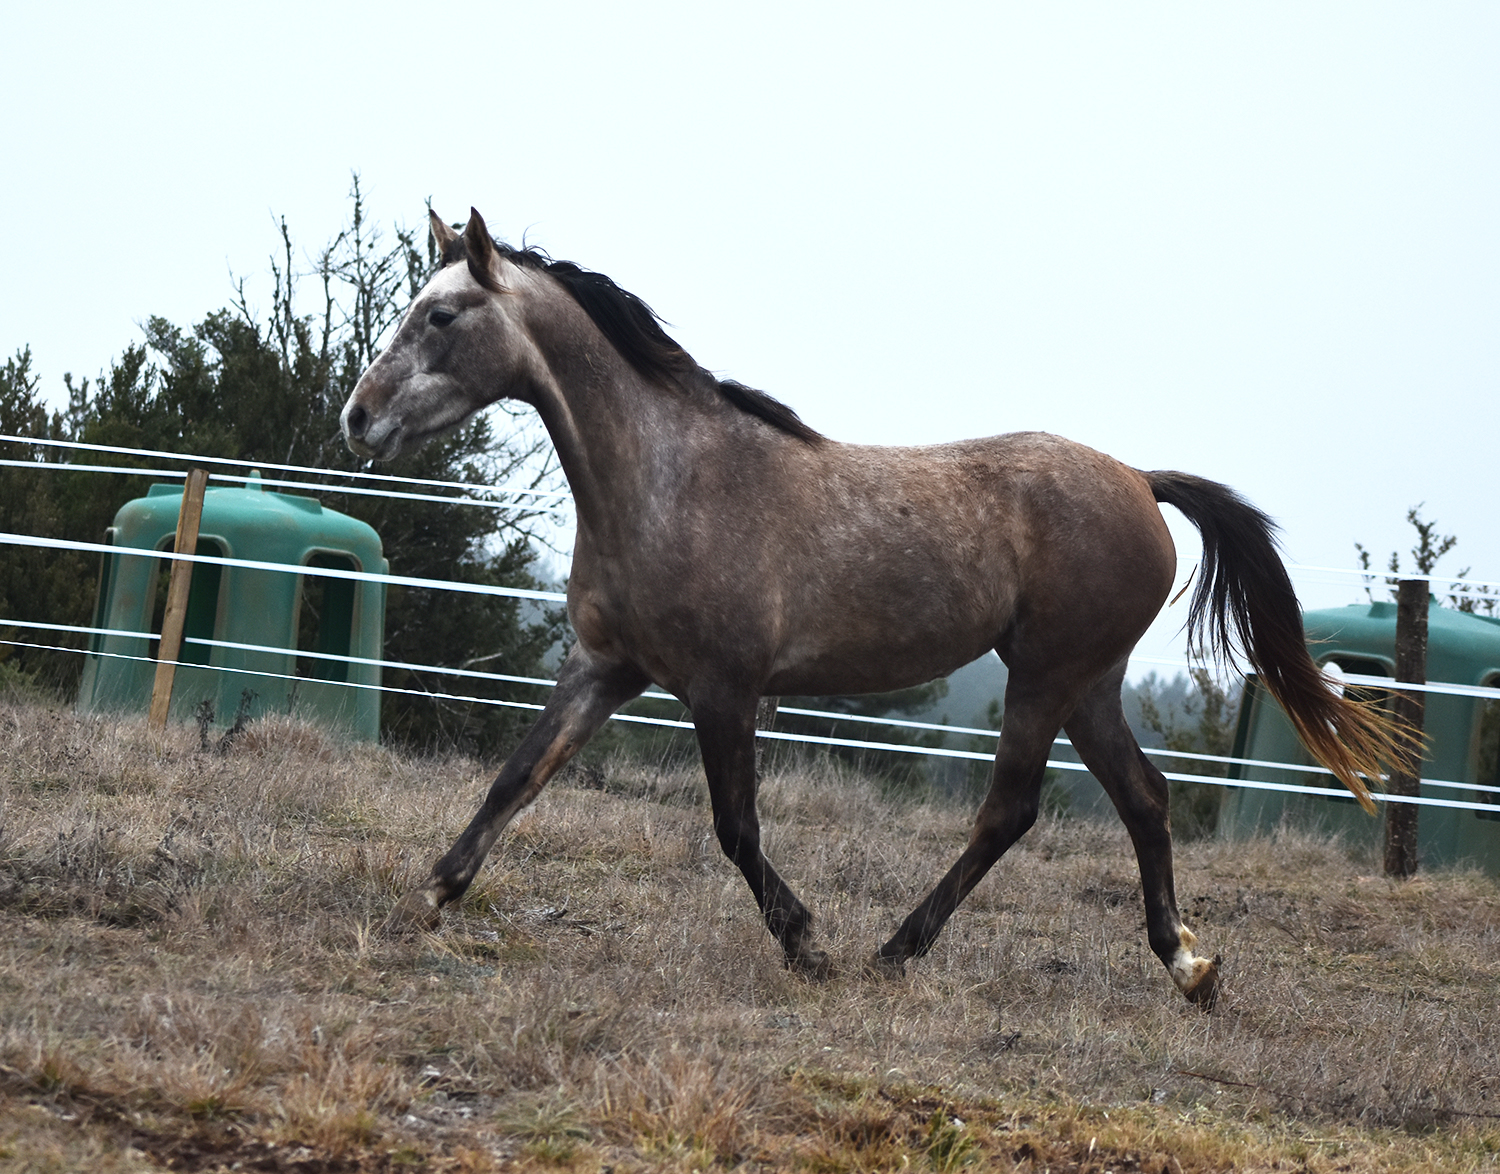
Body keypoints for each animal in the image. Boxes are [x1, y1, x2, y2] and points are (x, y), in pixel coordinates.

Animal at [341, 208, 1409, 1007]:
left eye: (442, 317)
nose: (358, 418)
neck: (668, 480)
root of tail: (1141, 482)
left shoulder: (722, 691)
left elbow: (735, 828)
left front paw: (807, 944)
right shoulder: (606, 667)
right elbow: (516, 777)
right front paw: (429, 896)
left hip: (1049, 676)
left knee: (1009, 811)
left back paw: (896, 951)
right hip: (1091, 683)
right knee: (1144, 801)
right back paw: (1188, 964)